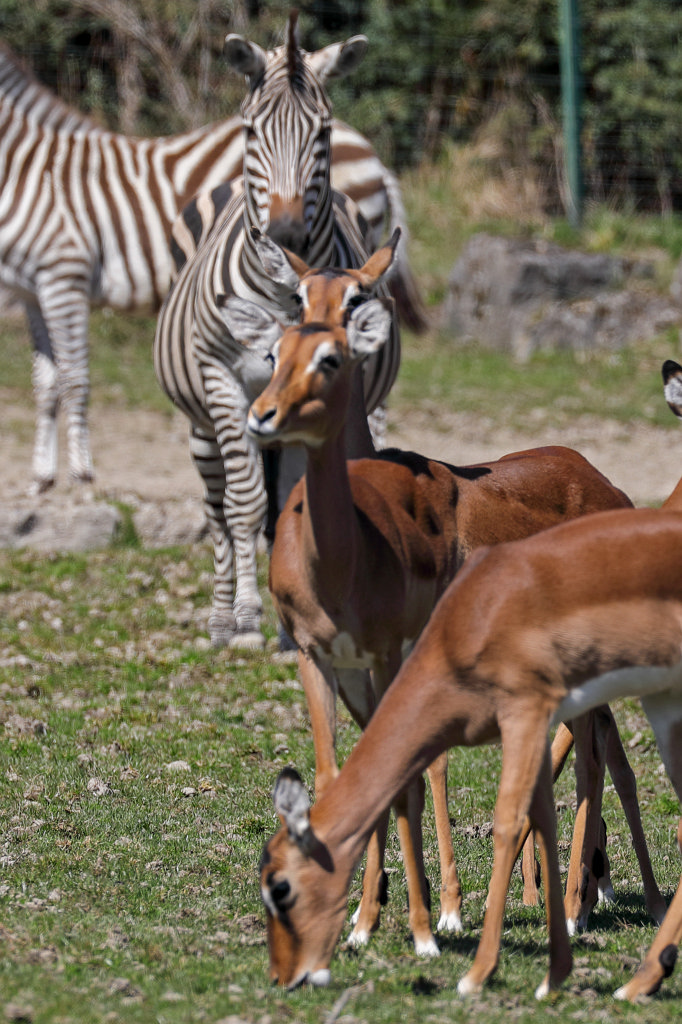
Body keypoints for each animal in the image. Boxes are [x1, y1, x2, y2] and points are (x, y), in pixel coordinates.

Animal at [219, 232, 655, 955]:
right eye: (298, 300)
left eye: (357, 297)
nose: (266, 413)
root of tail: (608, 486)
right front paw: (370, 913)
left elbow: (429, 769)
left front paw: (441, 914)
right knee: (594, 752)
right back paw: (587, 895)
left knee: (595, 759)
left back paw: (578, 907)